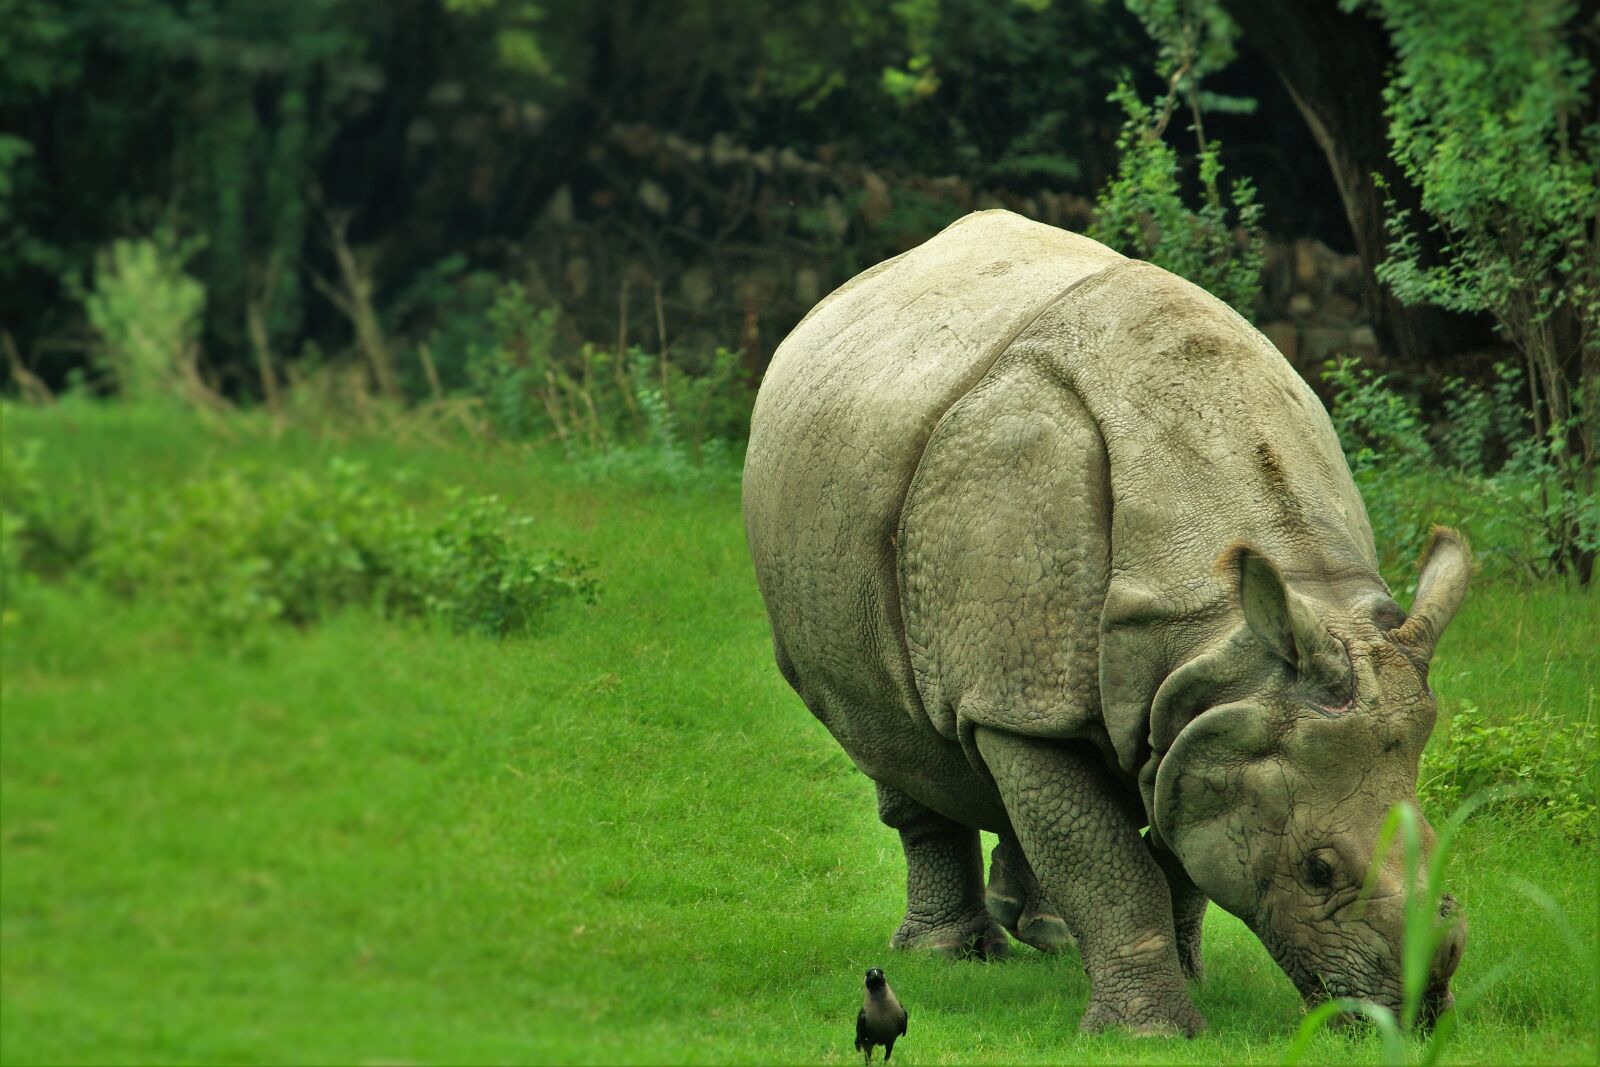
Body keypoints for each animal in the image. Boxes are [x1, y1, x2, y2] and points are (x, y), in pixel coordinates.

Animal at [742, 211, 1470, 1035]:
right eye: (1317, 870)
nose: (1418, 1014)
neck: (1225, 626)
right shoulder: (1176, 692)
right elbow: (1108, 861)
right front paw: (1150, 1031)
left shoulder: (1207, 705)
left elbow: (1171, 828)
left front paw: (1190, 979)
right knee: (903, 736)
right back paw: (950, 955)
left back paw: (1050, 937)